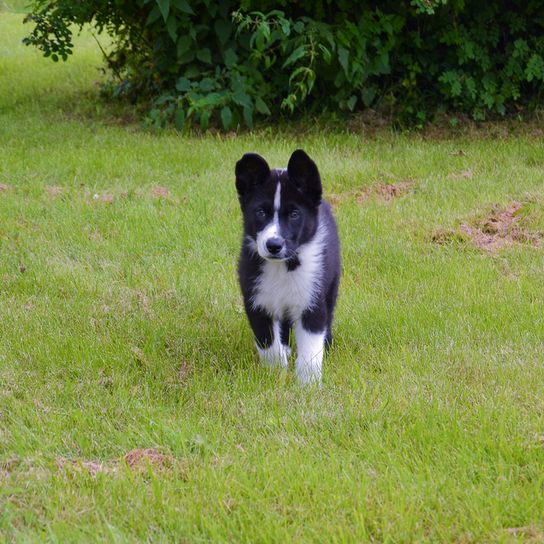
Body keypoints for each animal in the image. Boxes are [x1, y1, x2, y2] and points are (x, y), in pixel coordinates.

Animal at [237, 151, 342, 384]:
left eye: (294, 214)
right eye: (261, 212)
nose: (273, 245)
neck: (282, 267)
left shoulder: (312, 303)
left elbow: (310, 350)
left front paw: (308, 384)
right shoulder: (257, 302)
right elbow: (269, 345)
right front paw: (275, 374)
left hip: (331, 284)